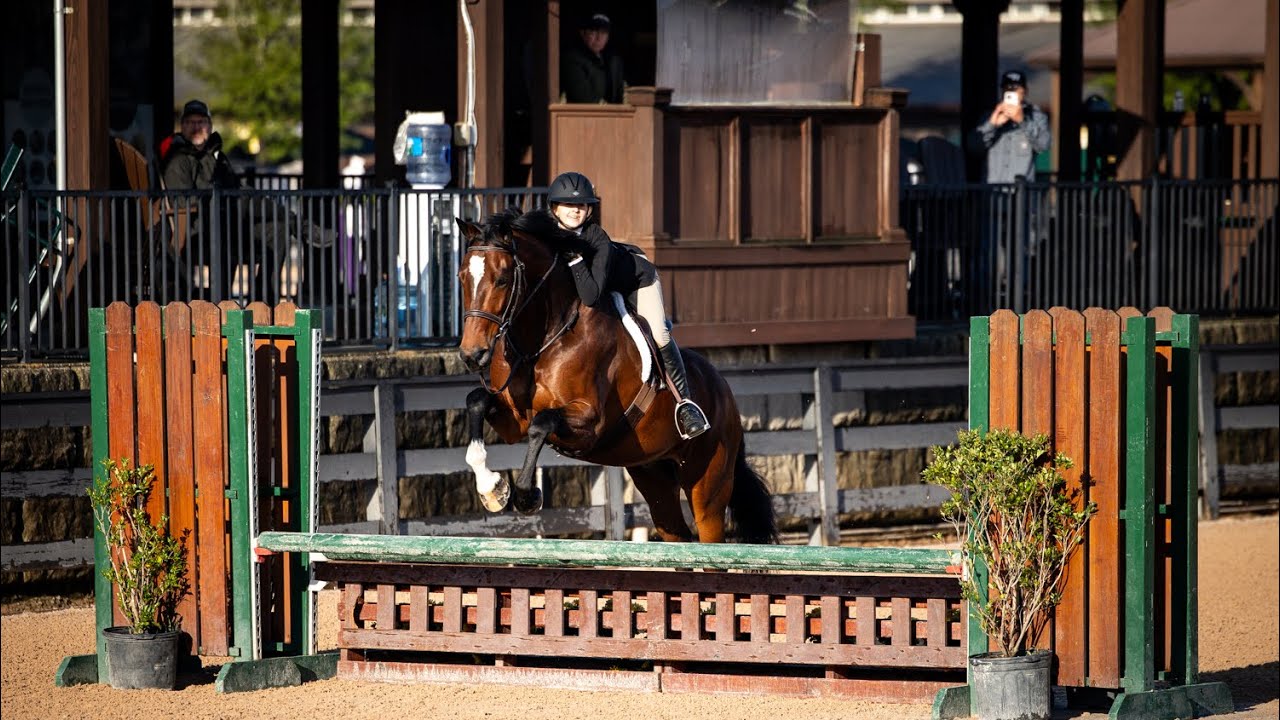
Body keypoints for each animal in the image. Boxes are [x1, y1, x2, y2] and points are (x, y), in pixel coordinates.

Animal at [456, 208, 777, 544]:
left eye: (502, 280)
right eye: (461, 277)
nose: (472, 354)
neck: (543, 341)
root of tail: (725, 393)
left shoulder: (589, 422)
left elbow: (541, 424)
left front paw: (526, 495)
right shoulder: (513, 420)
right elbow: (477, 401)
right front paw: (492, 489)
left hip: (708, 484)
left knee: (709, 529)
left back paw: (691, 417)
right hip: (653, 473)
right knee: (676, 532)